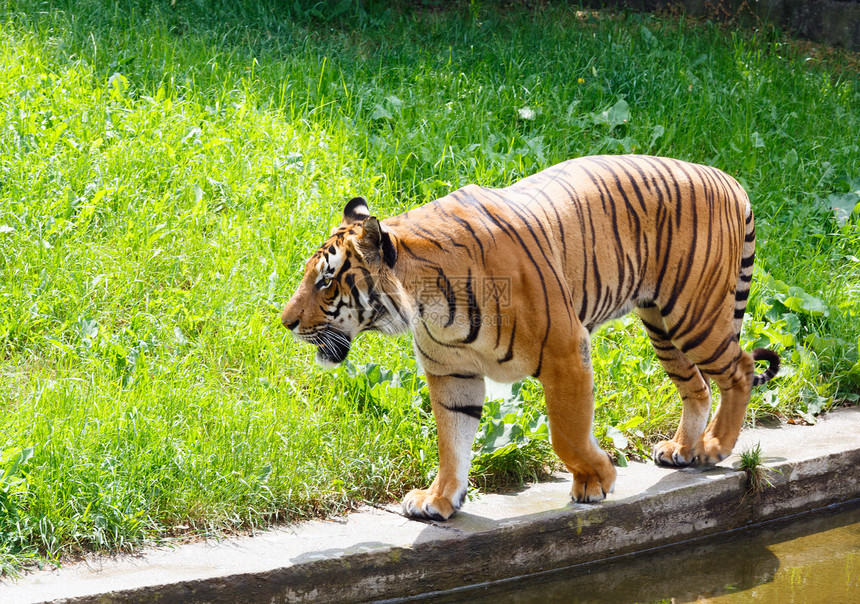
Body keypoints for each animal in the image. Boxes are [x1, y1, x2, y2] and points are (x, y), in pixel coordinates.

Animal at [280, 155, 780, 520]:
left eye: (326, 281)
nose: (285, 322)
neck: (427, 304)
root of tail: (728, 177)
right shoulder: (453, 375)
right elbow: (452, 443)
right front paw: (439, 500)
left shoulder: (566, 353)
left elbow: (567, 434)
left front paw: (595, 480)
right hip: (661, 325)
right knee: (697, 386)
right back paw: (683, 449)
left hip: (694, 317)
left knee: (739, 369)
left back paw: (714, 447)